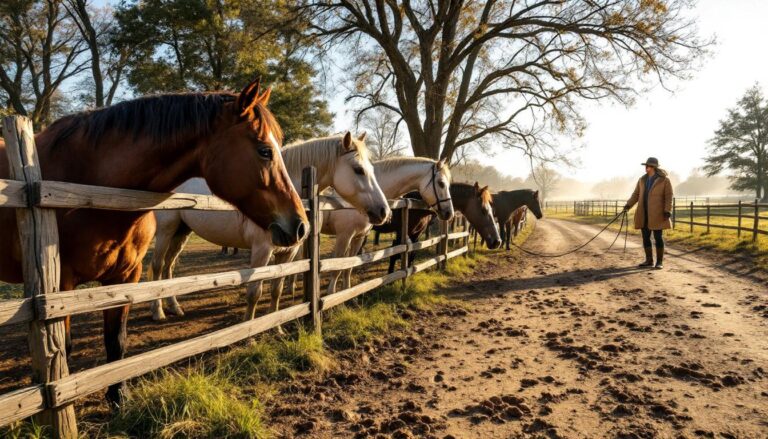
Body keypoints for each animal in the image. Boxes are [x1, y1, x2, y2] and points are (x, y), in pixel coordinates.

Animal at [0, 78, 306, 405]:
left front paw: (118, 396)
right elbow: (65, 350)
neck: (88, 187)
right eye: (265, 151)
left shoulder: (125, 277)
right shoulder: (60, 287)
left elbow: (116, 341)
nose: (300, 225)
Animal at [148, 132, 390, 321]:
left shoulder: (288, 252)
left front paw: (277, 327)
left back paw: (174, 307)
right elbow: (254, 292)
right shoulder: (261, 251)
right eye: (358, 169)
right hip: (166, 230)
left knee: (169, 267)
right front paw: (249, 335)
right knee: (158, 266)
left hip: (182, 231)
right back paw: (158, 312)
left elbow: (276, 289)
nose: (384, 211)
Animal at [319, 157, 454, 295]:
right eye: (441, 183)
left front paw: (348, 293)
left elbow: (349, 267)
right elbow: (337, 268)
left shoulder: (358, 237)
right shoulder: (344, 237)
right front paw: (331, 294)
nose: (449, 213)